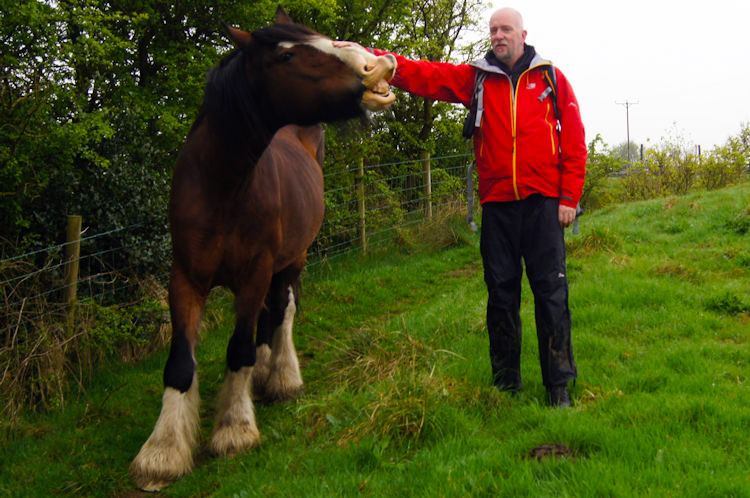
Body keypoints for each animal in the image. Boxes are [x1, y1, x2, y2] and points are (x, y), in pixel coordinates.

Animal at [131, 7, 400, 490]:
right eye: (288, 55)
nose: (379, 65)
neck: (222, 186)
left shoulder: (257, 270)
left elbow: (239, 347)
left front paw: (235, 429)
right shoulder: (185, 278)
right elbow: (181, 361)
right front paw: (161, 452)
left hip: (293, 260)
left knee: (282, 311)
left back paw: (282, 377)